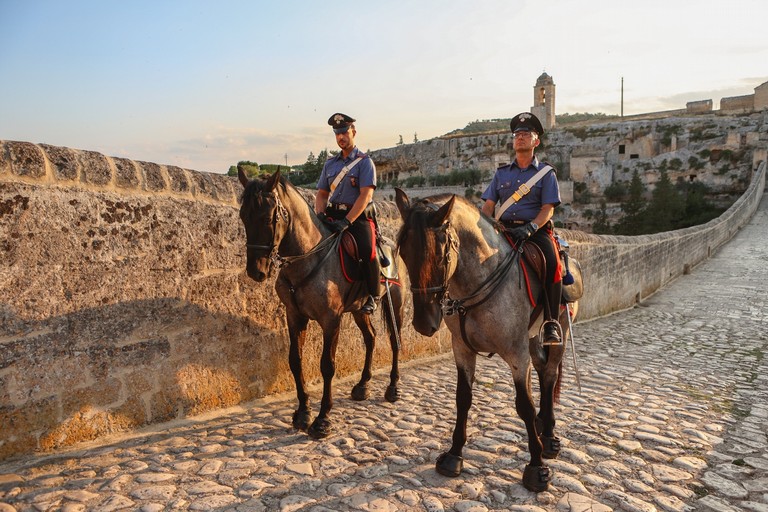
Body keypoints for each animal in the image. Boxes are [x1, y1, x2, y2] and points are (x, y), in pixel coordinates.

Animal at [237, 169, 405, 439]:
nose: (256, 271)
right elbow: (295, 361)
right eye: (243, 216)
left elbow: (327, 365)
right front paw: (303, 412)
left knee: (395, 340)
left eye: (267, 218)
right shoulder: (295, 316)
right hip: (359, 310)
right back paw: (363, 385)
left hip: (395, 305)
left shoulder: (331, 320)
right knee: (371, 338)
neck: (308, 258)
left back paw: (393, 387)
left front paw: (322, 419)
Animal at [394, 189, 574, 493]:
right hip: (531, 340)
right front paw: (454, 455)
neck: (481, 280)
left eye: (441, 254)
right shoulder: (462, 350)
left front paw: (537, 467)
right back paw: (542, 426)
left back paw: (548, 436)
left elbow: (524, 405)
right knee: (541, 370)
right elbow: (463, 398)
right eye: (404, 252)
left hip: (557, 330)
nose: (423, 323)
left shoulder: (516, 354)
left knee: (549, 374)